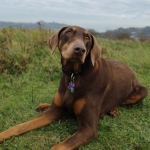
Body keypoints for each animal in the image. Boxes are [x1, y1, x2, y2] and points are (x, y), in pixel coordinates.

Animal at [0, 25, 148, 149]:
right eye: (69, 32)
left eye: (87, 37)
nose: (80, 50)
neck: (74, 74)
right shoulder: (54, 111)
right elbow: (22, 126)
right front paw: (3, 135)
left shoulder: (89, 128)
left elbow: (59, 146)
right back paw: (43, 105)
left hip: (142, 91)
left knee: (121, 101)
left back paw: (113, 110)